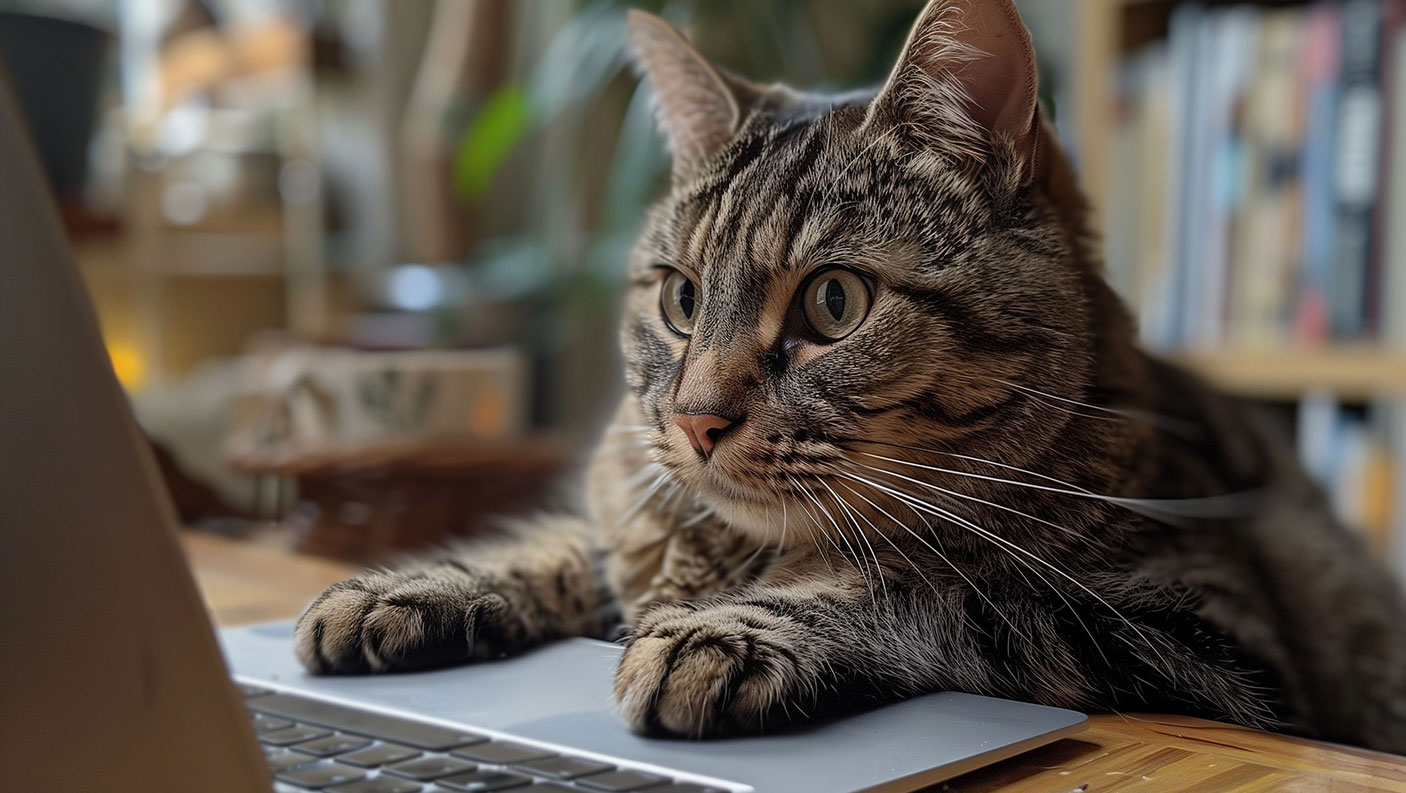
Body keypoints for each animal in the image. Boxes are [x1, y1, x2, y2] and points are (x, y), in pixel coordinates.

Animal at [293, 0, 1406, 753]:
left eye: (833, 303)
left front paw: (732, 629)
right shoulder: (625, 519)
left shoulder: (1208, 639)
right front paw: (416, 584)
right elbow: (567, 548)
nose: (694, 420)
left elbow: (947, 592)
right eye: (681, 298)